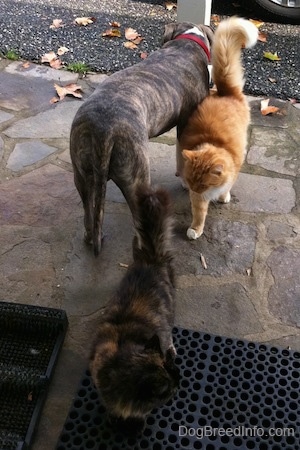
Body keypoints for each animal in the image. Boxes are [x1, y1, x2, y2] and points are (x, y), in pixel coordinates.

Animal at [69, 21, 213, 255]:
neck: (186, 42)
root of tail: (104, 130)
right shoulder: (187, 124)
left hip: (82, 173)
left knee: (88, 211)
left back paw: (91, 236)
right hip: (136, 178)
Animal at [178, 17, 258, 239]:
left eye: (203, 184)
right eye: (192, 181)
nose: (193, 188)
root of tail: (225, 92)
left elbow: (226, 188)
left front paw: (224, 196)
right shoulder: (199, 199)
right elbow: (199, 214)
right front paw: (195, 229)